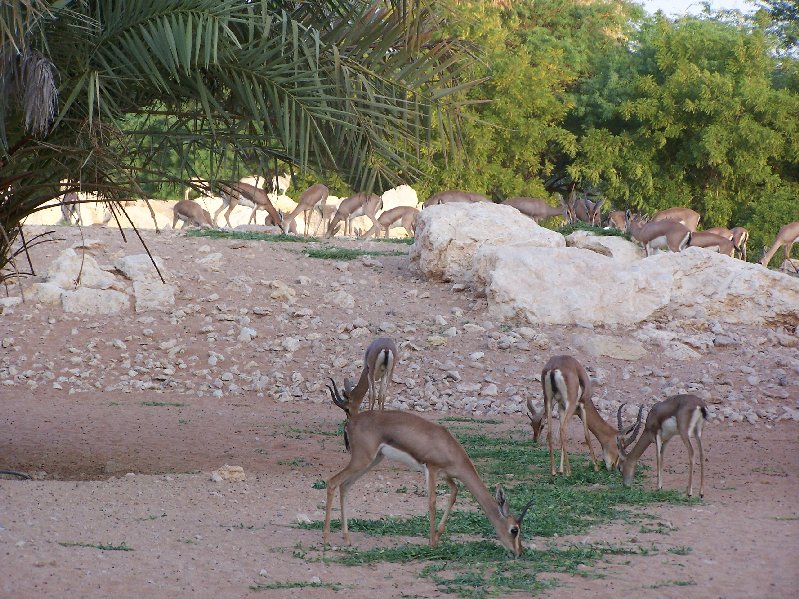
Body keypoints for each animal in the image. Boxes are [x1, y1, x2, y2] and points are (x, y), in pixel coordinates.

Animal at [323, 388, 534, 556]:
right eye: (514, 530)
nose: (519, 552)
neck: (449, 447)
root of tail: (350, 423)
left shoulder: (447, 476)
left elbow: (454, 493)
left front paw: (438, 536)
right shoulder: (431, 469)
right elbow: (432, 503)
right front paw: (432, 543)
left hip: (372, 460)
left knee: (345, 485)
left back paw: (347, 538)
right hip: (362, 460)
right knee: (332, 481)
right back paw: (326, 539)